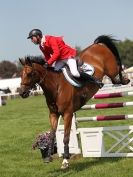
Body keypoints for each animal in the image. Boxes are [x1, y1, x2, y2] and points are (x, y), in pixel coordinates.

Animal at [18, 35, 129, 169]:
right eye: (21, 74)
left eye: (29, 74)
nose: (22, 93)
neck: (56, 86)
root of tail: (97, 44)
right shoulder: (54, 114)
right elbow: (52, 135)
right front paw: (48, 157)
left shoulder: (67, 114)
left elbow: (66, 137)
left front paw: (65, 161)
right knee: (114, 78)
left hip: (111, 68)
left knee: (118, 69)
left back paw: (125, 79)